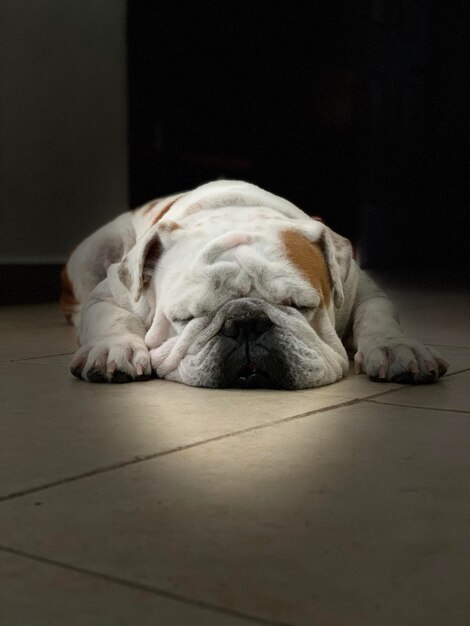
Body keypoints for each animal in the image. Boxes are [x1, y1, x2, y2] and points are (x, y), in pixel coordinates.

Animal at [61, 178, 448, 388]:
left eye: (300, 305)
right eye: (185, 318)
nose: (245, 323)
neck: (235, 212)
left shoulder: (360, 287)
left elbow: (376, 315)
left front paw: (396, 348)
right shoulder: (111, 293)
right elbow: (112, 317)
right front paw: (113, 350)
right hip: (94, 252)